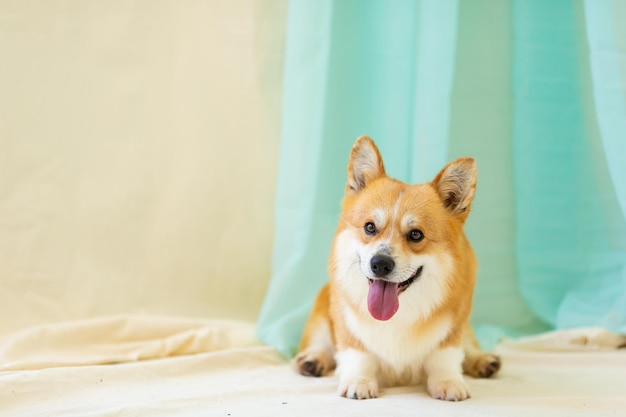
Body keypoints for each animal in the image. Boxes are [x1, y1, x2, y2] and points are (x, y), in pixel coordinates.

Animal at [294, 136, 500, 400]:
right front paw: (358, 381)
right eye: (370, 227)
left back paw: (484, 361)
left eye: (416, 234)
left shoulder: (454, 324)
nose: (380, 264)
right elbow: (357, 353)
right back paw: (312, 360)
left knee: (470, 345)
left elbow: (445, 356)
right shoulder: (348, 325)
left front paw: (448, 383)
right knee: (321, 342)